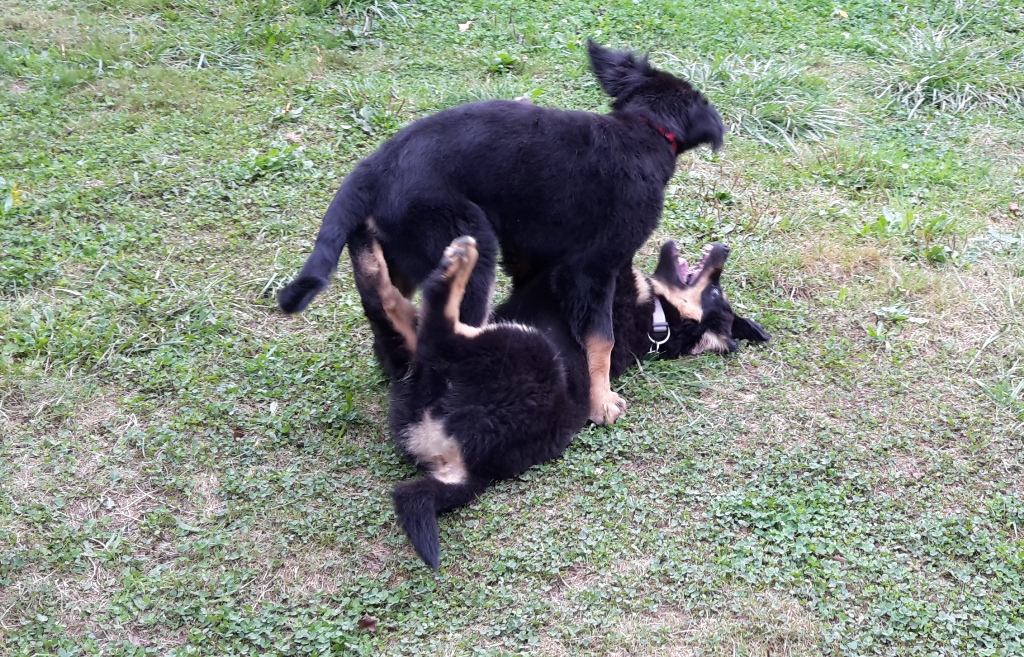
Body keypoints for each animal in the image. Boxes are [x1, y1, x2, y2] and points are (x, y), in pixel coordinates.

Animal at [278, 40, 726, 426]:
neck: (642, 128)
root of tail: (375, 166)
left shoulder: (535, 259)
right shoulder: (594, 268)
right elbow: (601, 339)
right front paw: (601, 402)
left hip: (406, 253)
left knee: (393, 320)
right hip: (472, 243)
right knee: (444, 335)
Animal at [348, 228, 769, 569]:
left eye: (714, 291)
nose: (724, 248)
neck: (658, 320)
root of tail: (469, 465)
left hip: (524, 349)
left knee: (435, 332)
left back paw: (455, 261)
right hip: (415, 382)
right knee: (394, 317)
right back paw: (370, 251)